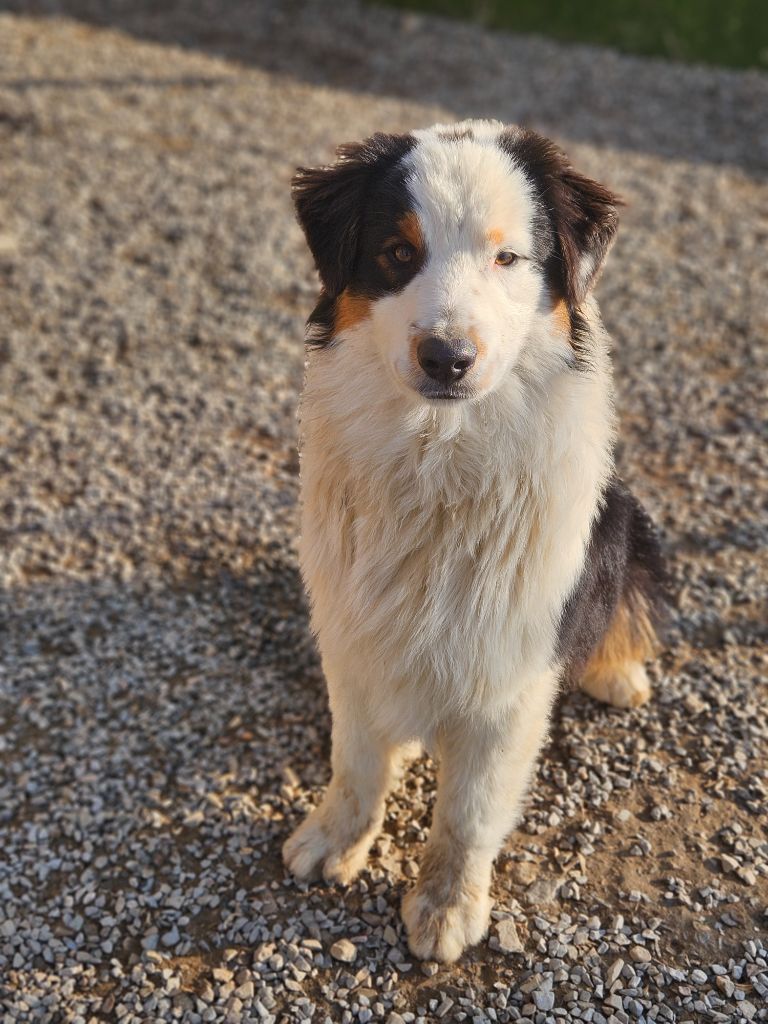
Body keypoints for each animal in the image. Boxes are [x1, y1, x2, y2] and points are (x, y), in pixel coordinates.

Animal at [282, 119, 667, 958]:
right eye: (399, 252)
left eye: (508, 258)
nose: (447, 358)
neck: (439, 458)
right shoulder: (353, 634)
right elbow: (356, 762)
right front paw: (336, 838)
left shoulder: (511, 673)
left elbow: (468, 809)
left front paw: (447, 907)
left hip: (620, 515)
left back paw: (618, 671)